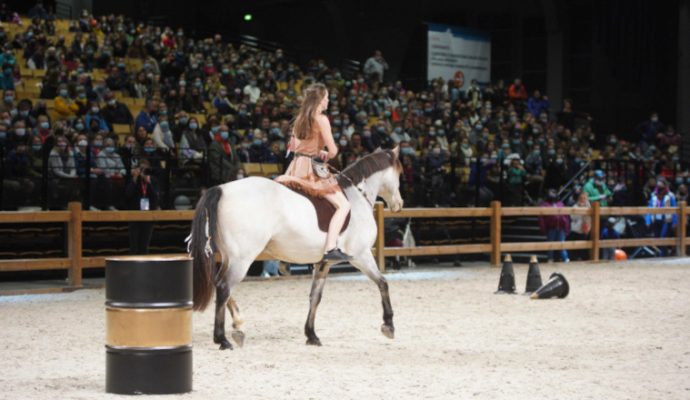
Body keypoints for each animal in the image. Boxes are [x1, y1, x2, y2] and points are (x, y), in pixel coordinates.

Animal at [187, 147, 404, 350]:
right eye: (400, 172)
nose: (399, 204)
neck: (356, 198)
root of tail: (221, 189)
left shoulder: (323, 264)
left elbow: (315, 297)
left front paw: (312, 335)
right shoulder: (361, 256)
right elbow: (383, 283)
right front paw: (389, 325)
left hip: (229, 257)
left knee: (219, 284)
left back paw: (238, 326)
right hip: (242, 259)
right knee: (224, 287)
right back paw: (222, 339)